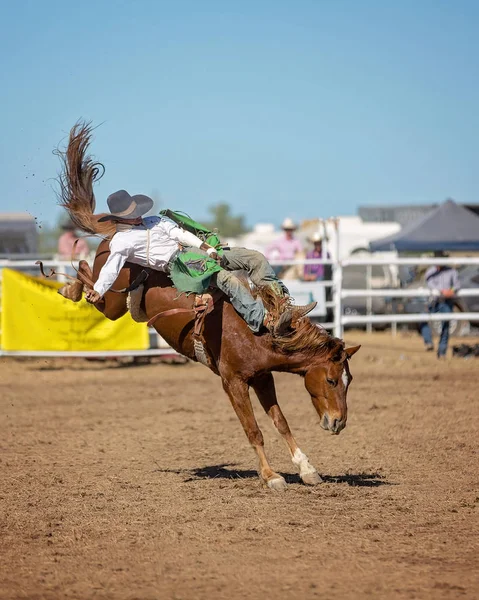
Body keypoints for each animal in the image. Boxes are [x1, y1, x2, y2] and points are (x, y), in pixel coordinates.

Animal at [51, 123, 360, 492]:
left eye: (349, 381)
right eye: (331, 380)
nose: (339, 422)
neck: (260, 334)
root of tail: (115, 228)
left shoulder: (262, 376)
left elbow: (281, 422)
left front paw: (306, 468)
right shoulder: (233, 381)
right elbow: (254, 430)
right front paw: (271, 476)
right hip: (113, 298)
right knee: (90, 277)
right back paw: (70, 286)